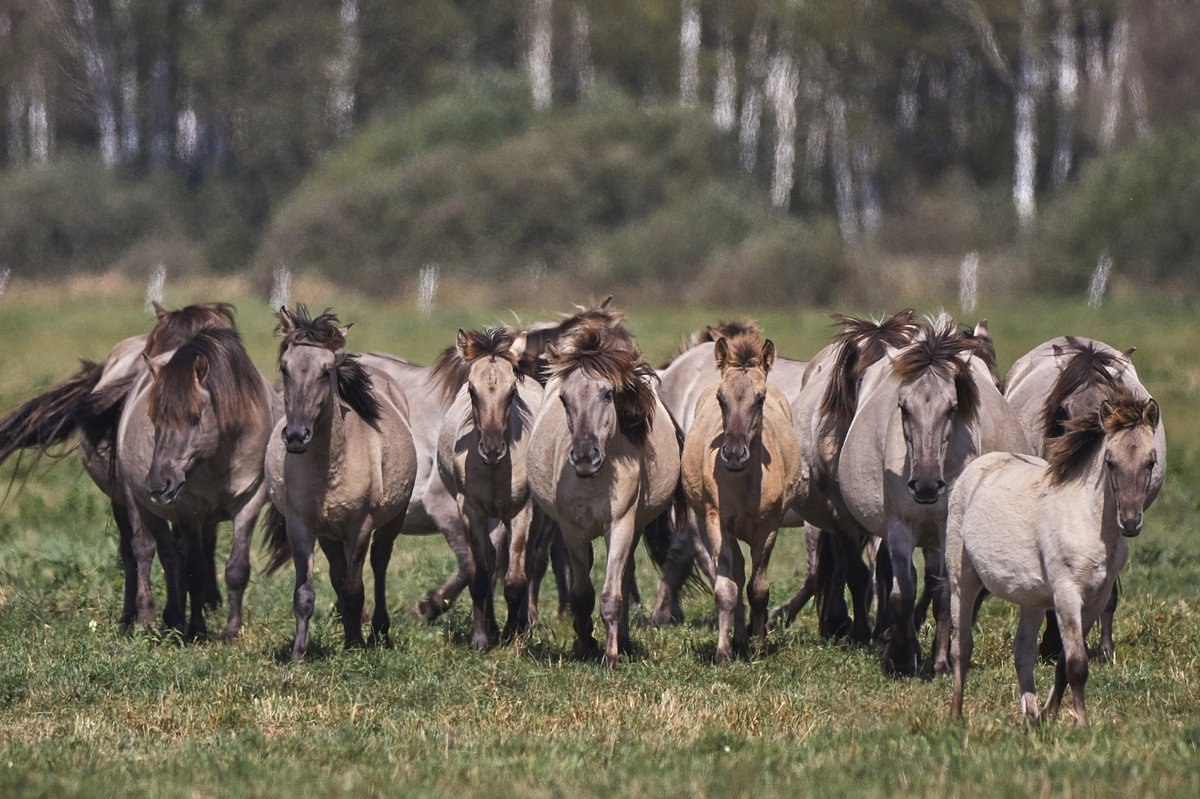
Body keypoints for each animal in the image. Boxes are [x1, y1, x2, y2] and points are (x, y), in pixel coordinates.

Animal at [262, 304, 417, 657]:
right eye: (285, 368)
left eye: (326, 371)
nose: (296, 436)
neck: (329, 467)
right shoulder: (301, 527)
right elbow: (305, 593)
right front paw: (299, 654)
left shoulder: (358, 527)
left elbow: (354, 588)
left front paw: (356, 647)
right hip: (329, 535)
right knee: (337, 574)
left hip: (391, 520)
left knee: (379, 563)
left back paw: (379, 632)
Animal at [436, 326, 544, 643]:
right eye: (472, 390)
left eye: (512, 392)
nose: (492, 449)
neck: (496, 469)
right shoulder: (471, 510)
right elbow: (480, 574)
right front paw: (481, 638)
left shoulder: (522, 511)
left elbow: (515, 578)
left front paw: (512, 633)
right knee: (493, 560)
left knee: (528, 563)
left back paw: (522, 624)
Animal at [528, 314, 681, 662]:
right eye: (564, 399)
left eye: (608, 394)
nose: (585, 457)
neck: (594, 480)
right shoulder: (572, 530)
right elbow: (582, 593)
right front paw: (585, 645)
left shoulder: (621, 524)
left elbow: (612, 594)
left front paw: (611, 655)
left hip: (634, 527)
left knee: (624, 578)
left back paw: (622, 641)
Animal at [681, 328, 801, 657]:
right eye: (721, 399)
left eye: (760, 399)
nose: (734, 455)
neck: (746, 482)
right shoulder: (718, 522)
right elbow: (727, 588)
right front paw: (724, 651)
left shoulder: (769, 527)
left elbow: (758, 589)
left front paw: (760, 647)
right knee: (735, 572)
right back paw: (738, 640)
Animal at [945, 391, 1161, 719]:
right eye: (1110, 462)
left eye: (1151, 461)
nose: (1130, 522)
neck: (1089, 521)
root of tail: (978, 467)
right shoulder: (1067, 595)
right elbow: (1077, 665)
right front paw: (1080, 723)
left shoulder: (1096, 600)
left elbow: (1063, 663)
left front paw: (1050, 713)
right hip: (963, 581)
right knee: (962, 647)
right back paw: (956, 716)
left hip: (1031, 598)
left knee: (1023, 650)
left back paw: (1032, 717)